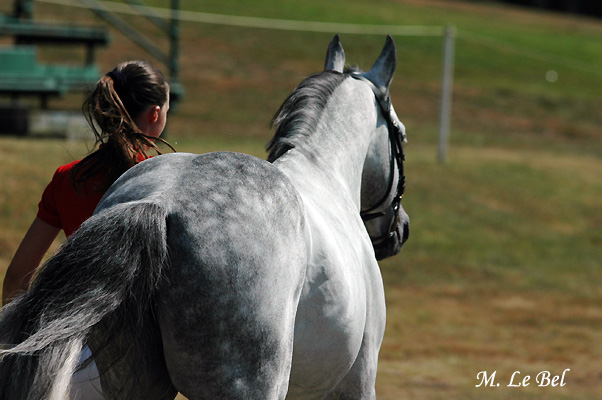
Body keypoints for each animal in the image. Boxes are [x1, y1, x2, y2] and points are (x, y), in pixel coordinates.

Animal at [0, 36, 408, 398]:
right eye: (401, 135)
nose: (400, 230)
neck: (323, 172)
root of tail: (161, 203)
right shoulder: (357, 382)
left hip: (136, 381)